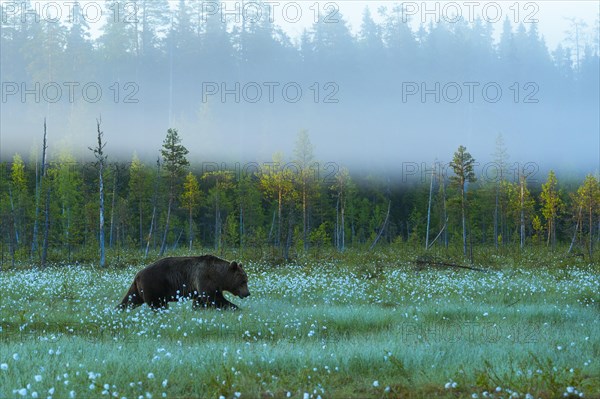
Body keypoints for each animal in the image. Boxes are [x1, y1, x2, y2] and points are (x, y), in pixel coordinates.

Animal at [118, 256, 250, 312]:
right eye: (243, 281)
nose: (247, 293)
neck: (219, 276)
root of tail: (138, 274)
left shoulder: (198, 286)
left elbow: (200, 301)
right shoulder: (204, 277)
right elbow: (213, 298)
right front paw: (236, 308)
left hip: (138, 288)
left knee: (130, 299)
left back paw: (118, 310)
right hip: (154, 285)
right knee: (157, 304)